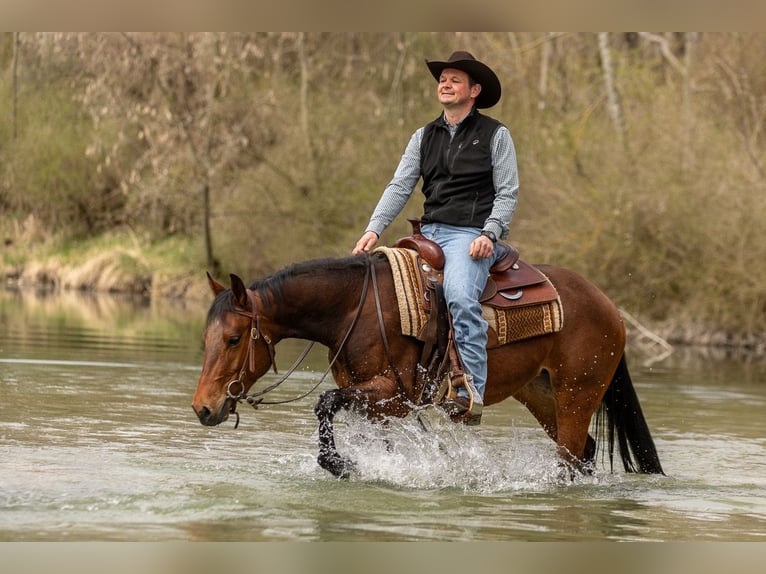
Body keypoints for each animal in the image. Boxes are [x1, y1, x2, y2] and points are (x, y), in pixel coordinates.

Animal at [192, 252, 664, 479]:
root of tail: (611, 308)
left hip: (577, 393)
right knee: (584, 451)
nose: (203, 408)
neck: (356, 309)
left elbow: (324, 402)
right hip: (540, 392)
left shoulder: (395, 393)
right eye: (207, 339)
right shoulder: (375, 405)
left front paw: (342, 465)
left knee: (571, 456)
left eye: (233, 339)